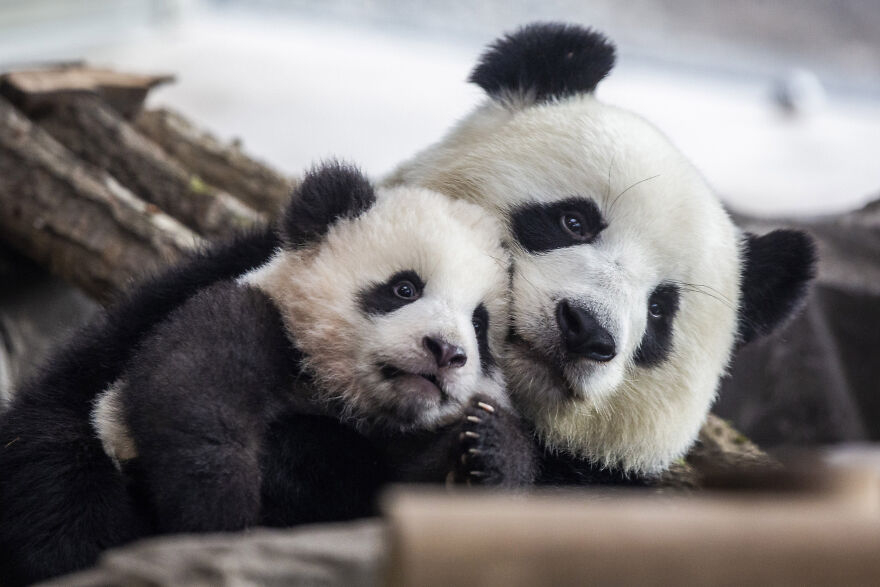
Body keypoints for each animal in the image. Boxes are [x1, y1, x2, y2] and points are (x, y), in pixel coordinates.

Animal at [0, 162, 522, 585]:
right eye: (405, 288)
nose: (446, 351)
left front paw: (482, 451)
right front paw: (219, 512)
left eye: (480, 325)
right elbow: (190, 384)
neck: (340, 399)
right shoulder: (252, 316)